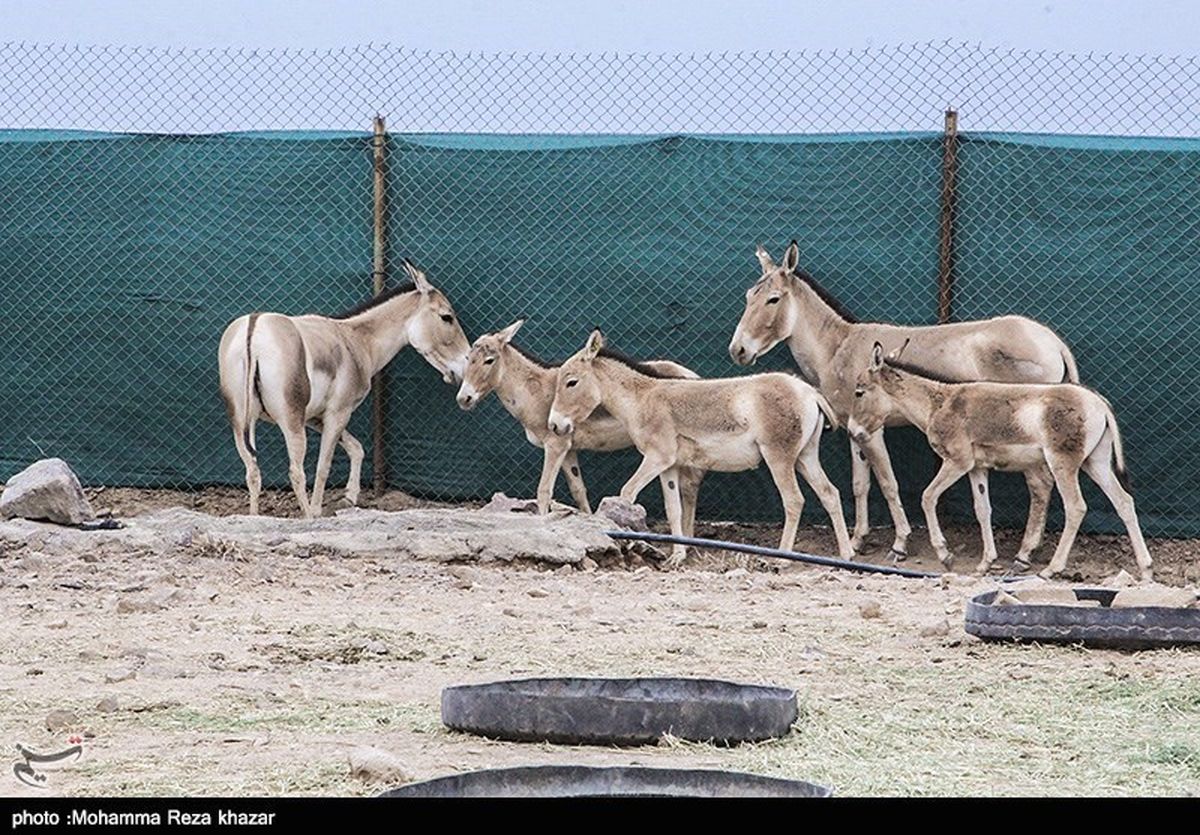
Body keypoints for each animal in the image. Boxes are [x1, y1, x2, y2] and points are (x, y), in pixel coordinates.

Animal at [218, 261, 470, 515]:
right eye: (447, 317)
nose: (464, 368)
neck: (356, 339)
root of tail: (254, 327)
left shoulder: (316, 417)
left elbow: (356, 448)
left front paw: (349, 497)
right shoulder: (338, 412)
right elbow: (324, 466)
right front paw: (319, 510)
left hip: (241, 421)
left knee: (252, 471)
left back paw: (254, 516)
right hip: (290, 420)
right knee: (296, 472)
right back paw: (307, 516)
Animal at [456, 319, 700, 523]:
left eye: (489, 360)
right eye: (468, 359)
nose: (463, 398)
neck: (534, 391)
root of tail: (693, 376)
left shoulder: (555, 445)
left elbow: (544, 491)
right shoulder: (568, 449)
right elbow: (578, 490)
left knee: (689, 487)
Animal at [549, 328, 849, 563]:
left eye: (571, 382)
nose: (554, 425)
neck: (641, 400)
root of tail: (808, 391)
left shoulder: (657, 457)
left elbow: (627, 493)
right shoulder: (669, 464)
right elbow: (674, 508)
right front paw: (677, 556)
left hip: (779, 456)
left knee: (794, 500)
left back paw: (782, 558)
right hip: (805, 455)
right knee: (830, 493)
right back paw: (846, 554)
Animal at [849, 340, 1147, 580]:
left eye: (859, 391)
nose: (853, 432)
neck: (939, 404)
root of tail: (1099, 403)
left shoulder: (957, 462)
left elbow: (927, 496)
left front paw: (945, 555)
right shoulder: (977, 468)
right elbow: (983, 510)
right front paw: (985, 563)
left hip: (1063, 463)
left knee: (1076, 507)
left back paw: (1051, 569)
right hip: (1096, 462)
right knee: (1124, 501)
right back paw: (1145, 569)